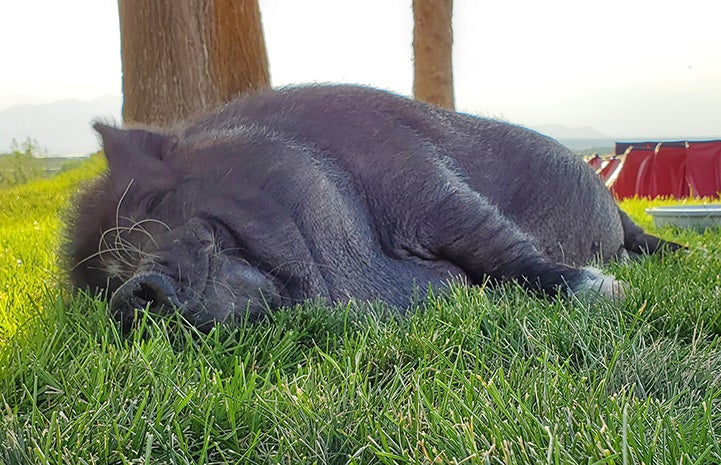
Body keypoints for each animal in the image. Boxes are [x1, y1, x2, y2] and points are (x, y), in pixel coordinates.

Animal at [64, 83, 676, 330]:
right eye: (102, 282)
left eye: (150, 202)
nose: (127, 292)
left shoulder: (427, 184)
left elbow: (501, 247)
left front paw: (609, 292)